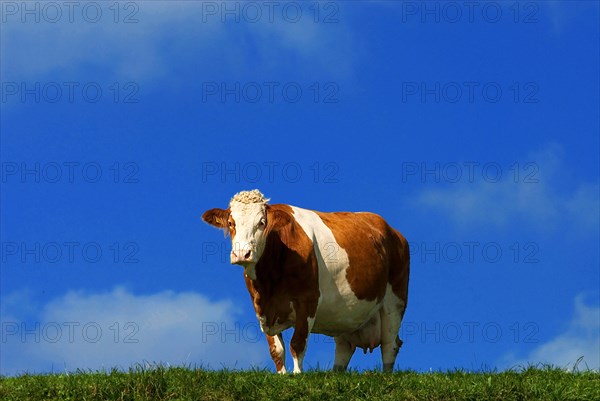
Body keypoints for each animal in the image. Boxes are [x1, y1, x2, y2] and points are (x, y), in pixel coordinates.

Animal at [202, 190, 408, 372]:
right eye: (231, 223)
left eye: (262, 222)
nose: (242, 254)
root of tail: (393, 231)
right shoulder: (261, 307)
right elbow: (277, 351)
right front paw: (282, 376)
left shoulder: (308, 300)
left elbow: (297, 343)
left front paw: (297, 376)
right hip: (345, 312)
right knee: (344, 347)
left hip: (395, 300)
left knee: (390, 344)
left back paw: (386, 376)